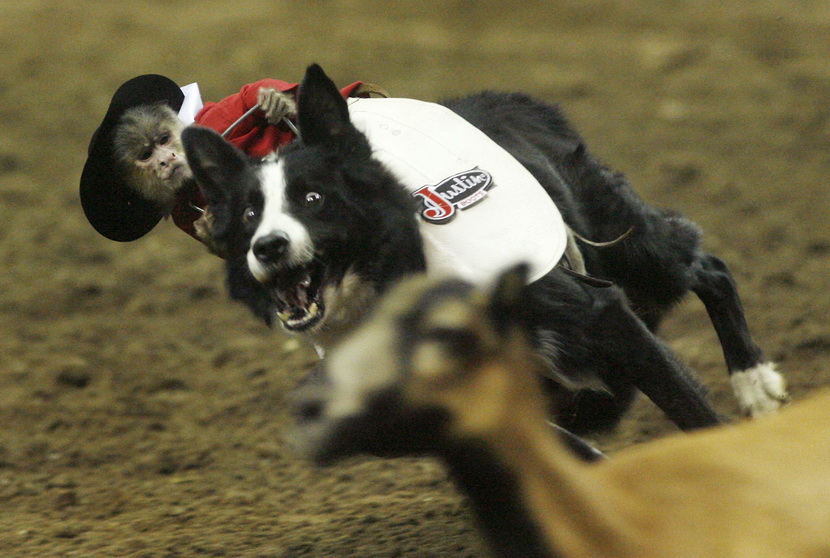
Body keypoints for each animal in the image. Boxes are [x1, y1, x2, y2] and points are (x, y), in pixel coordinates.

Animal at [182, 64, 788, 434]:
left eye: (313, 197)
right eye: (249, 215)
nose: (269, 247)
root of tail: (517, 102)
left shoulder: (602, 314)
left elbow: (689, 407)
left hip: (632, 251)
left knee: (706, 264)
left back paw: (757, 384)